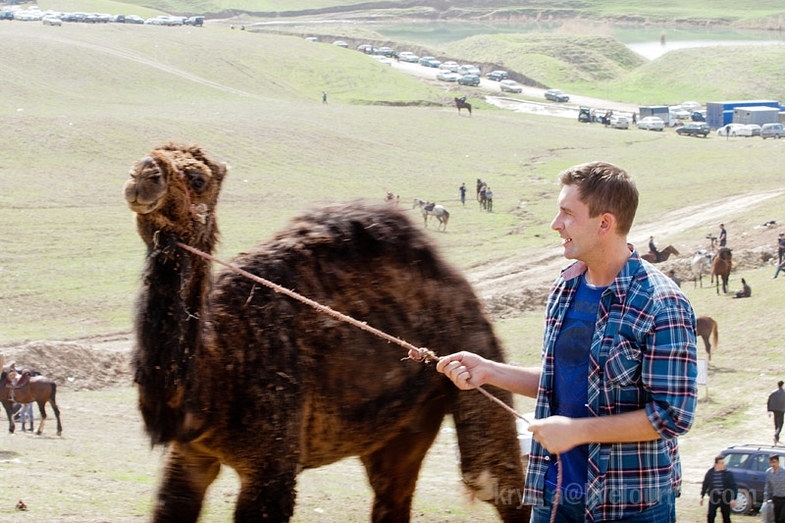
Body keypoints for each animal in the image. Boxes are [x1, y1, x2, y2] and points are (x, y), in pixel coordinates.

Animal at [122, 141, 528, 520]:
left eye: (197, 178)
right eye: (148, 154)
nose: (143, 174)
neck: (220, 366)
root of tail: (461, 286)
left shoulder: (271, 465)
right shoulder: (189, 455)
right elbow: (169, 504)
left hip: (478, 355)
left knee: (495, 481)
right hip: (401, 426)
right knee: (393, 492)